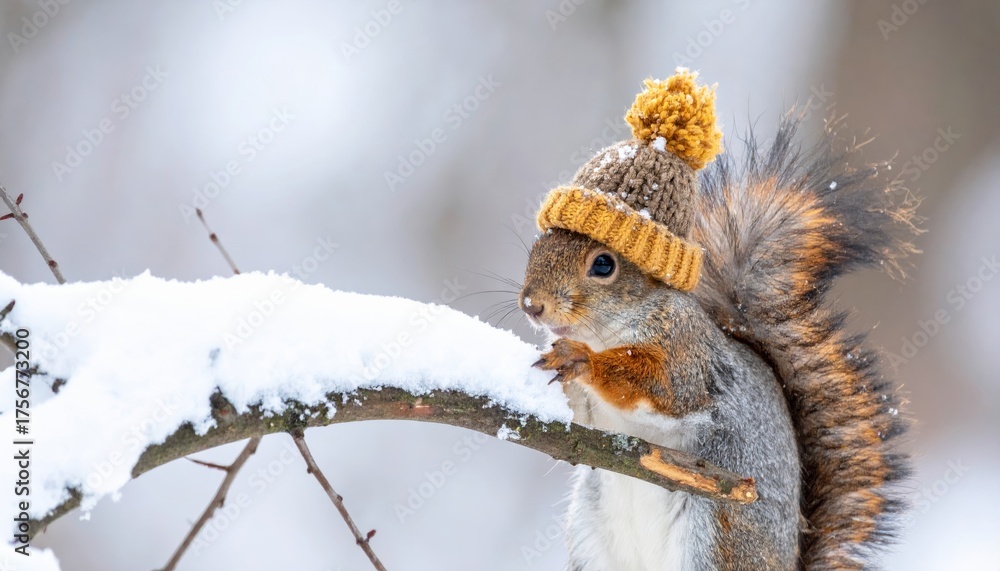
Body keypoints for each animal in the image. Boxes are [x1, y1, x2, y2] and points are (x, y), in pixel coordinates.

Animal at [518, 69, 917, 570]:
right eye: (540, 241)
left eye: (604, 264)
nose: (531, 305)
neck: (609, 329)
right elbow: (583, 420)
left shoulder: (686, 348)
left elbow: (662, 386)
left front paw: (580, 360)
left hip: (717, 538)